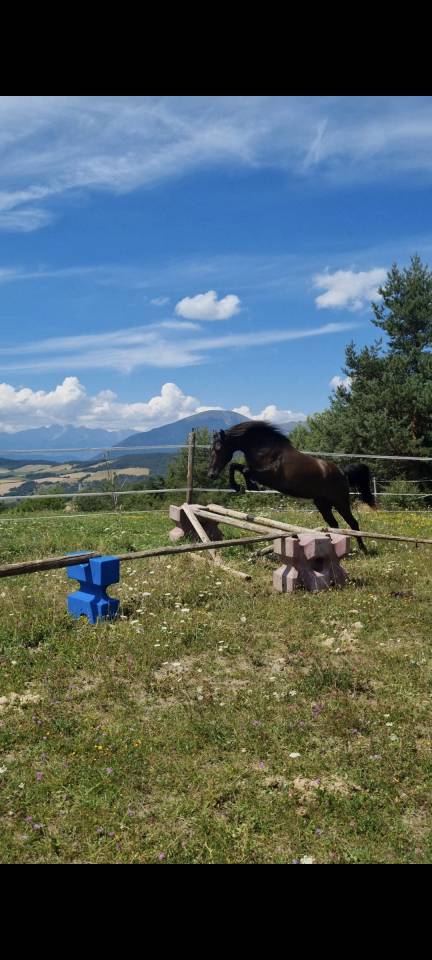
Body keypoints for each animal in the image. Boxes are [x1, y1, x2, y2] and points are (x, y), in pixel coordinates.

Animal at [208, 421, 376, 553]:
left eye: (218, 448)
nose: (211, 474)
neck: (264, 449)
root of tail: (342, 473)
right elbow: (235, 466)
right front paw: (238, 487)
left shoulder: (269, 476)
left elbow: (245, 469)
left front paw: (249, 485)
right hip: (322, 504)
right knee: (334, 525)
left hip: (340, 503)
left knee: (353, 523)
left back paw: (363, 549)